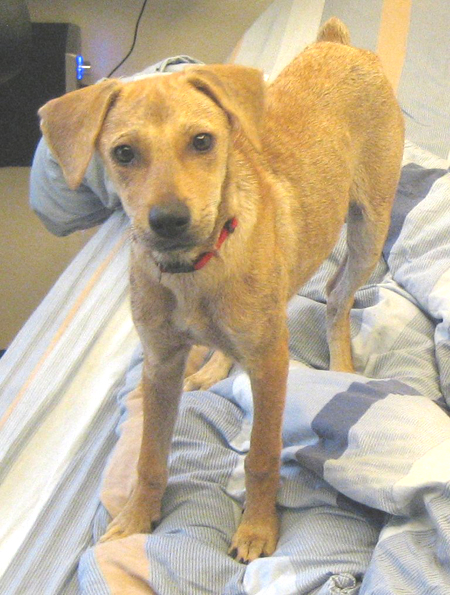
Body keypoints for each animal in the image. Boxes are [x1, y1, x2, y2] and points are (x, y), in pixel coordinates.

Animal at [38, 17, 404, 563]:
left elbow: (261, 456)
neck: (193, 272)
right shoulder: (160, 363)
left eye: (203, 141)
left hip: (369, 226)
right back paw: (214, 366)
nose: (169, 221)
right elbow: (149, 456)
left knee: (338, 297)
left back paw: (340, 367)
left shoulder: (271, 365)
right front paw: (136, 518)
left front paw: (257, 529)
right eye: (123, 153)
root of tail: (338, 44)